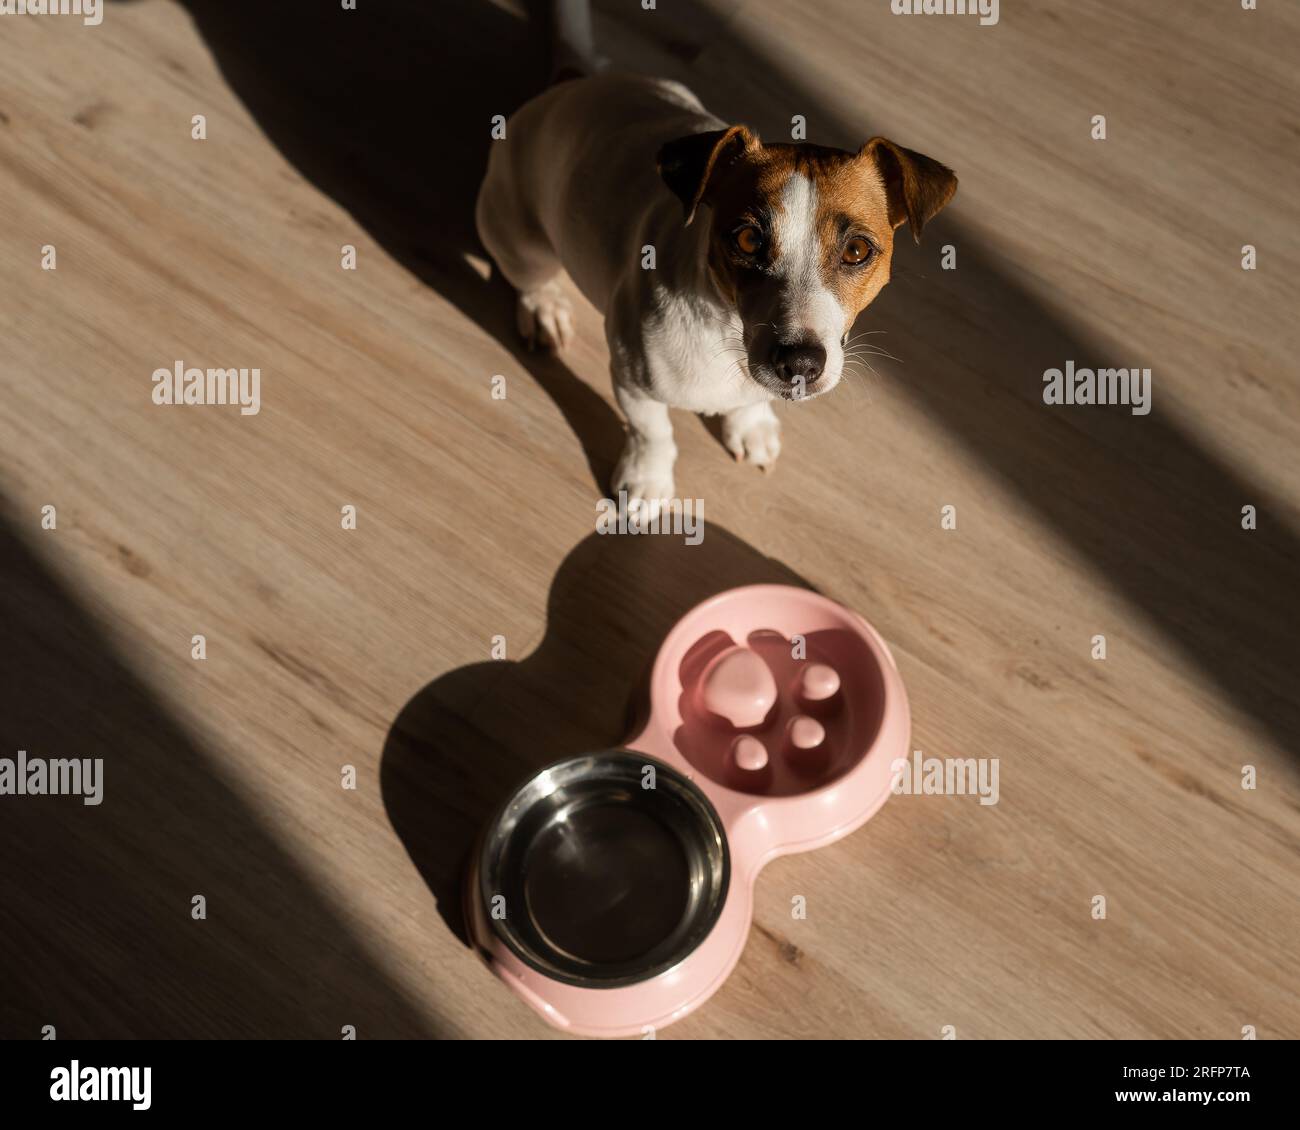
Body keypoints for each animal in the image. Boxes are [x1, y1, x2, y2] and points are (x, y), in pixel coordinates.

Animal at [478, 65, 956, 512]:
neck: (726, 327)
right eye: (747, 240)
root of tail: (573, 85)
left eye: (857, 250)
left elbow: (747, 403)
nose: (800, 362)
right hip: (517, 237)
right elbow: (652, 431)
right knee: (530, 277)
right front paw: (647, 480)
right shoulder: (632, 377)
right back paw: (544, 308)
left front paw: (750, 425)